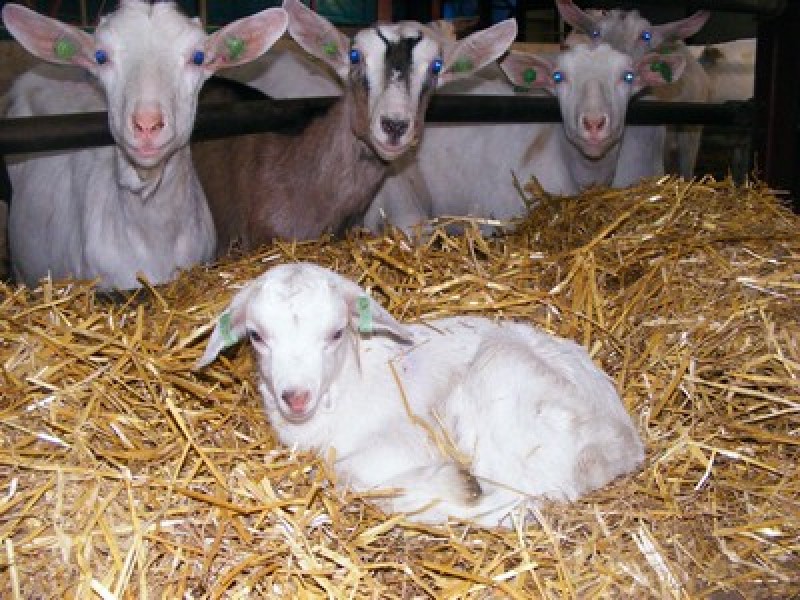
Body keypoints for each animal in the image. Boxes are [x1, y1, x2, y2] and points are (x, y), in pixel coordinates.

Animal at [196, 262, 644, 527]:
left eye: (336, 333)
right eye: (257, 336)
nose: (296, 397)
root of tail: (622, 443)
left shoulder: (408, 437)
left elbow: (345, 471)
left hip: (502, 385)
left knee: (519, 499)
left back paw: (459, 486)